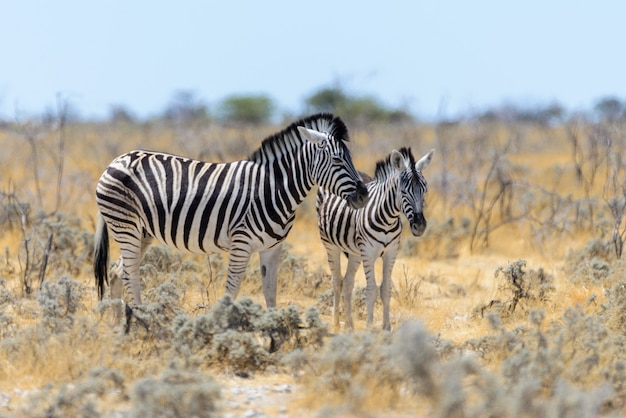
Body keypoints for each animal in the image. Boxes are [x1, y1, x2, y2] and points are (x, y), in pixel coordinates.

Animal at [94, 114, 368, 310]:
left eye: (350, 157)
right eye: (336, 160)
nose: (364, 194)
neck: (272, 187)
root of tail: (115, 160)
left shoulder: (273, 247)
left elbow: (270, 291)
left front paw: (275, 334)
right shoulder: (242, 243)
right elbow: (232, 289)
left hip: (142, 233)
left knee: (117, 272)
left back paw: (119, 327)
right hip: (125, 225)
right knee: (129, 273)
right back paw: (141, 322)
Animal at [314, 146, 432, 330]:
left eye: (425, 190)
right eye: (403, 191)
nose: (419, 225)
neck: (388, 219)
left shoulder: (391, 252)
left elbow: (386, 289)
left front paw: (387, 327)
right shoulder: (368, 252)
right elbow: (371, 290)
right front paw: (369, 327)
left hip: (355, 252)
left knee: (348, 282)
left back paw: (349, 325)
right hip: (330, 244)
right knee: (336, 282)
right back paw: (336, 324)